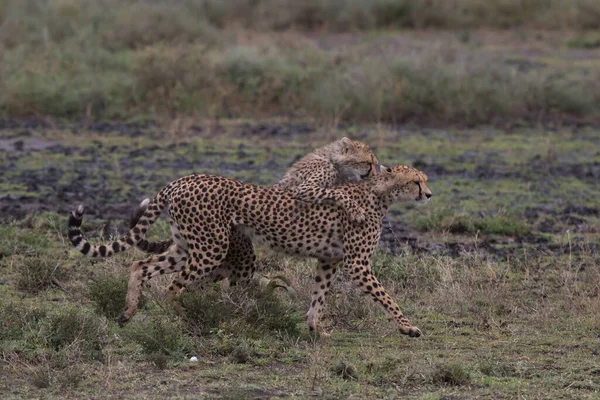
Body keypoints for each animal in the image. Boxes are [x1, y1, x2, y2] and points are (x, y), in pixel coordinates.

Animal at [68, 164, 432, 336]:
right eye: (416, 181)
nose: (428, 195)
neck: (379, 193)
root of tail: (182, 180)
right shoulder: (357, 263)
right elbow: (386, 297)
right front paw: (408, 327)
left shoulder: (329, 260)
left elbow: (318, 297)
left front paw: (316, 330)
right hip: (211, 247)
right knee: (173, 287)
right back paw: (187, 316)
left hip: (189, 245)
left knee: (140, 266)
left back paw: (128, 311)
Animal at [131, 138, 378, 284]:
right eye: (368, 162)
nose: (375, 171)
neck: (332, 159)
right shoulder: (306, 189)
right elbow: (338, 194)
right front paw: (356, 210)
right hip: (226, 249)